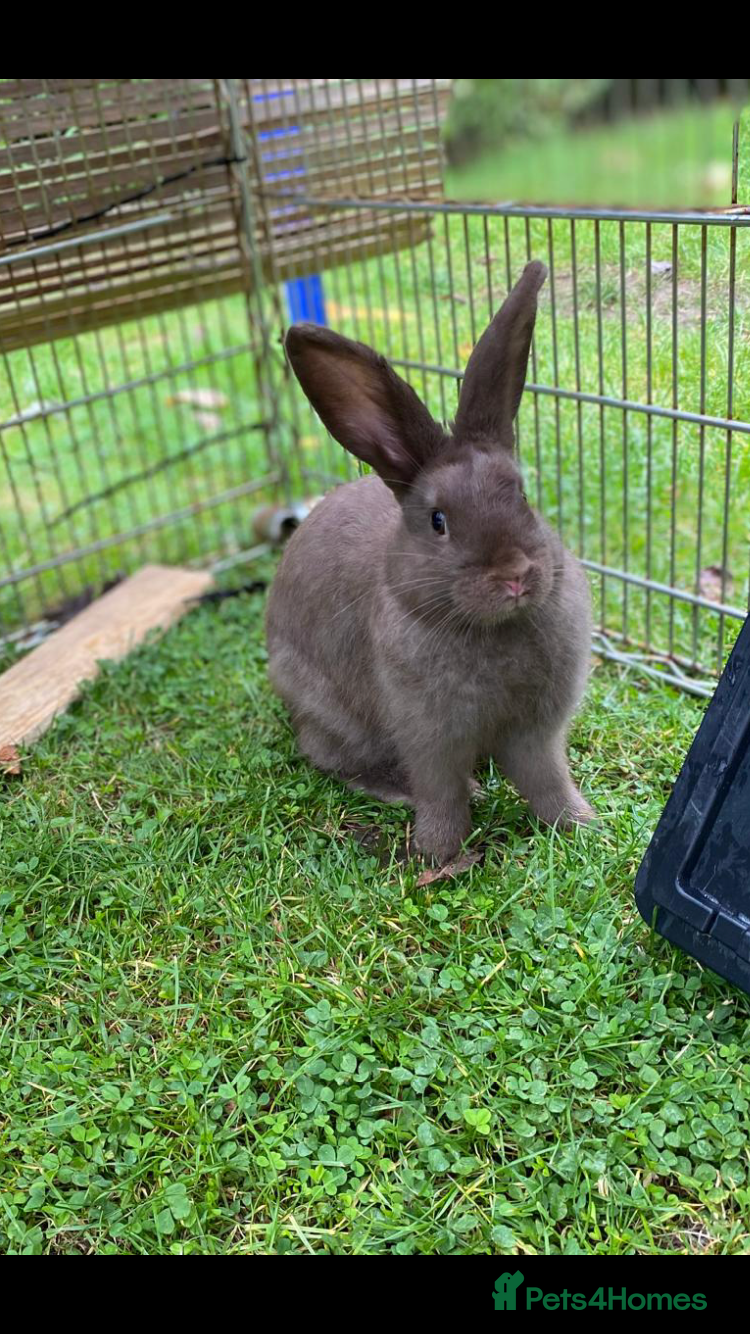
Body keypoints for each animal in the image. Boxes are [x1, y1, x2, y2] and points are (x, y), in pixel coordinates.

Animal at [266, 260, 593, 863]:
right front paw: (439, 856)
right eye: (438, 520)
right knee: (334, 760)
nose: (514, 576)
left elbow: (548, 780)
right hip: (329, 715)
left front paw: (582, 826)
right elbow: (441, 792)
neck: (492, 631)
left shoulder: (536, 732)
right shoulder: (429, 736)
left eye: (521, 495)